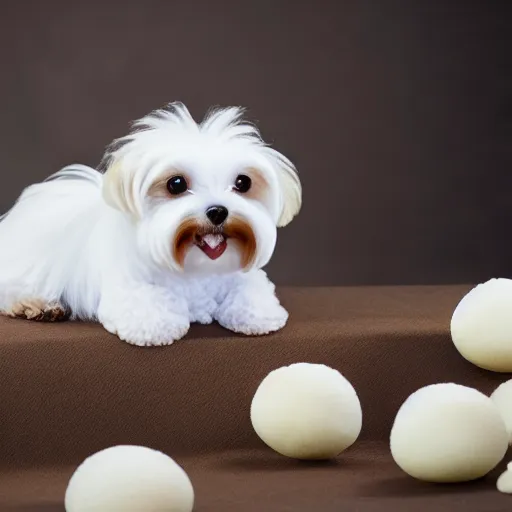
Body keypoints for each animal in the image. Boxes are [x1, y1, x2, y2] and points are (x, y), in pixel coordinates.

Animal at [0, 102, 300, 346]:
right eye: (176, 183)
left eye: (242, 182)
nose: (217, 211)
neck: (197, 267)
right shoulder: (130, 289)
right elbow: (148, 312)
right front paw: (160, 328)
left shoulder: (243, 278)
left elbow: (252, 294)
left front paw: (257, 317)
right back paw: (39, 305)